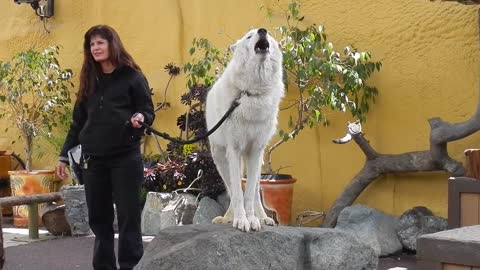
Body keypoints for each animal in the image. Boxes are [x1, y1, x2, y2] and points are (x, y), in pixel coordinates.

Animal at [204, 29, 284, 232]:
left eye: (268, 35)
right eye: (249, 36)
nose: (263, 30)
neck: (252, 93)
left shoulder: (255, 151)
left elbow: (248, 195)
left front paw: (253, 220)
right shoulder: (234, 150)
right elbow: (237, 193)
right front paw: (240, 220)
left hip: (256, 160)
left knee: (254, 191)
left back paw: (263, 218)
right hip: (221, 159)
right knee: (232, 189)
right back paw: (228, 217)